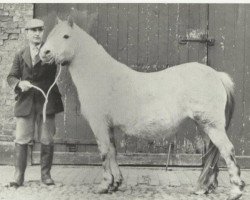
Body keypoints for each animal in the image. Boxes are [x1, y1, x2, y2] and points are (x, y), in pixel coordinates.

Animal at [40, 17, 245, 200]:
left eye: (65, 36)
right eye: (51, 34)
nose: (44, 53)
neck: (101, 75)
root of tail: (217, 75)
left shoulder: (99, 124)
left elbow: (104, 152)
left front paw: (104, 186)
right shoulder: (108, 126)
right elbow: (113, 152)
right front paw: (115, 183)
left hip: (211, 125)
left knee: (227, 150)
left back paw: (235, 191)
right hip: (206, 127)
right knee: (213, 152)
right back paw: (204, 188)